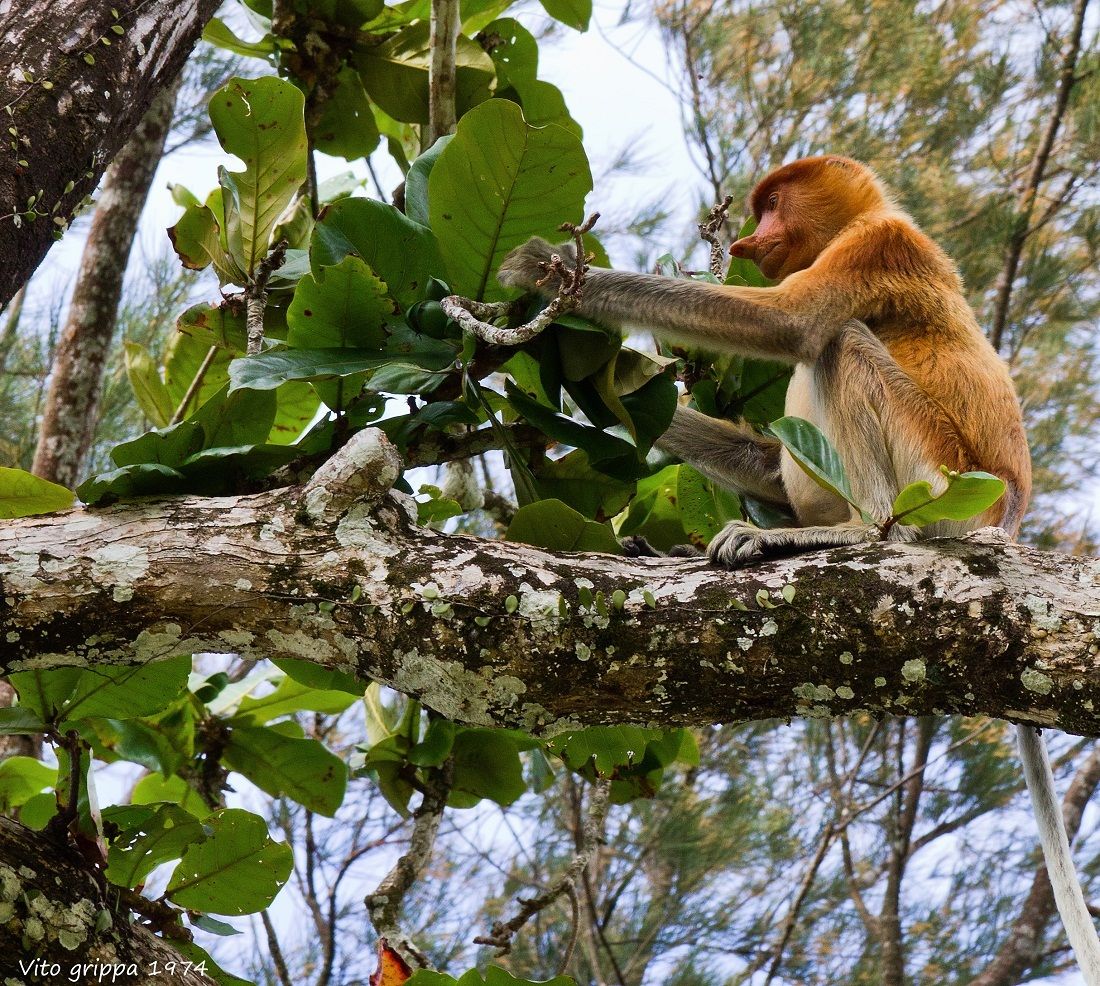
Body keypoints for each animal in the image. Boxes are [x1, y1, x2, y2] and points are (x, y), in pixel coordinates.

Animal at [497, 156, 1100, 982]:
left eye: (774, 202)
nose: (750, 238)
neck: (866, 216)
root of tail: (1007, 520)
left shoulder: (879, 246)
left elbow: (787, 323)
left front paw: (548, 271)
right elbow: (765, 458)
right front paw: (580, 392)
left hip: (941, 480)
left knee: (840, 341)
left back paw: (844, 536)